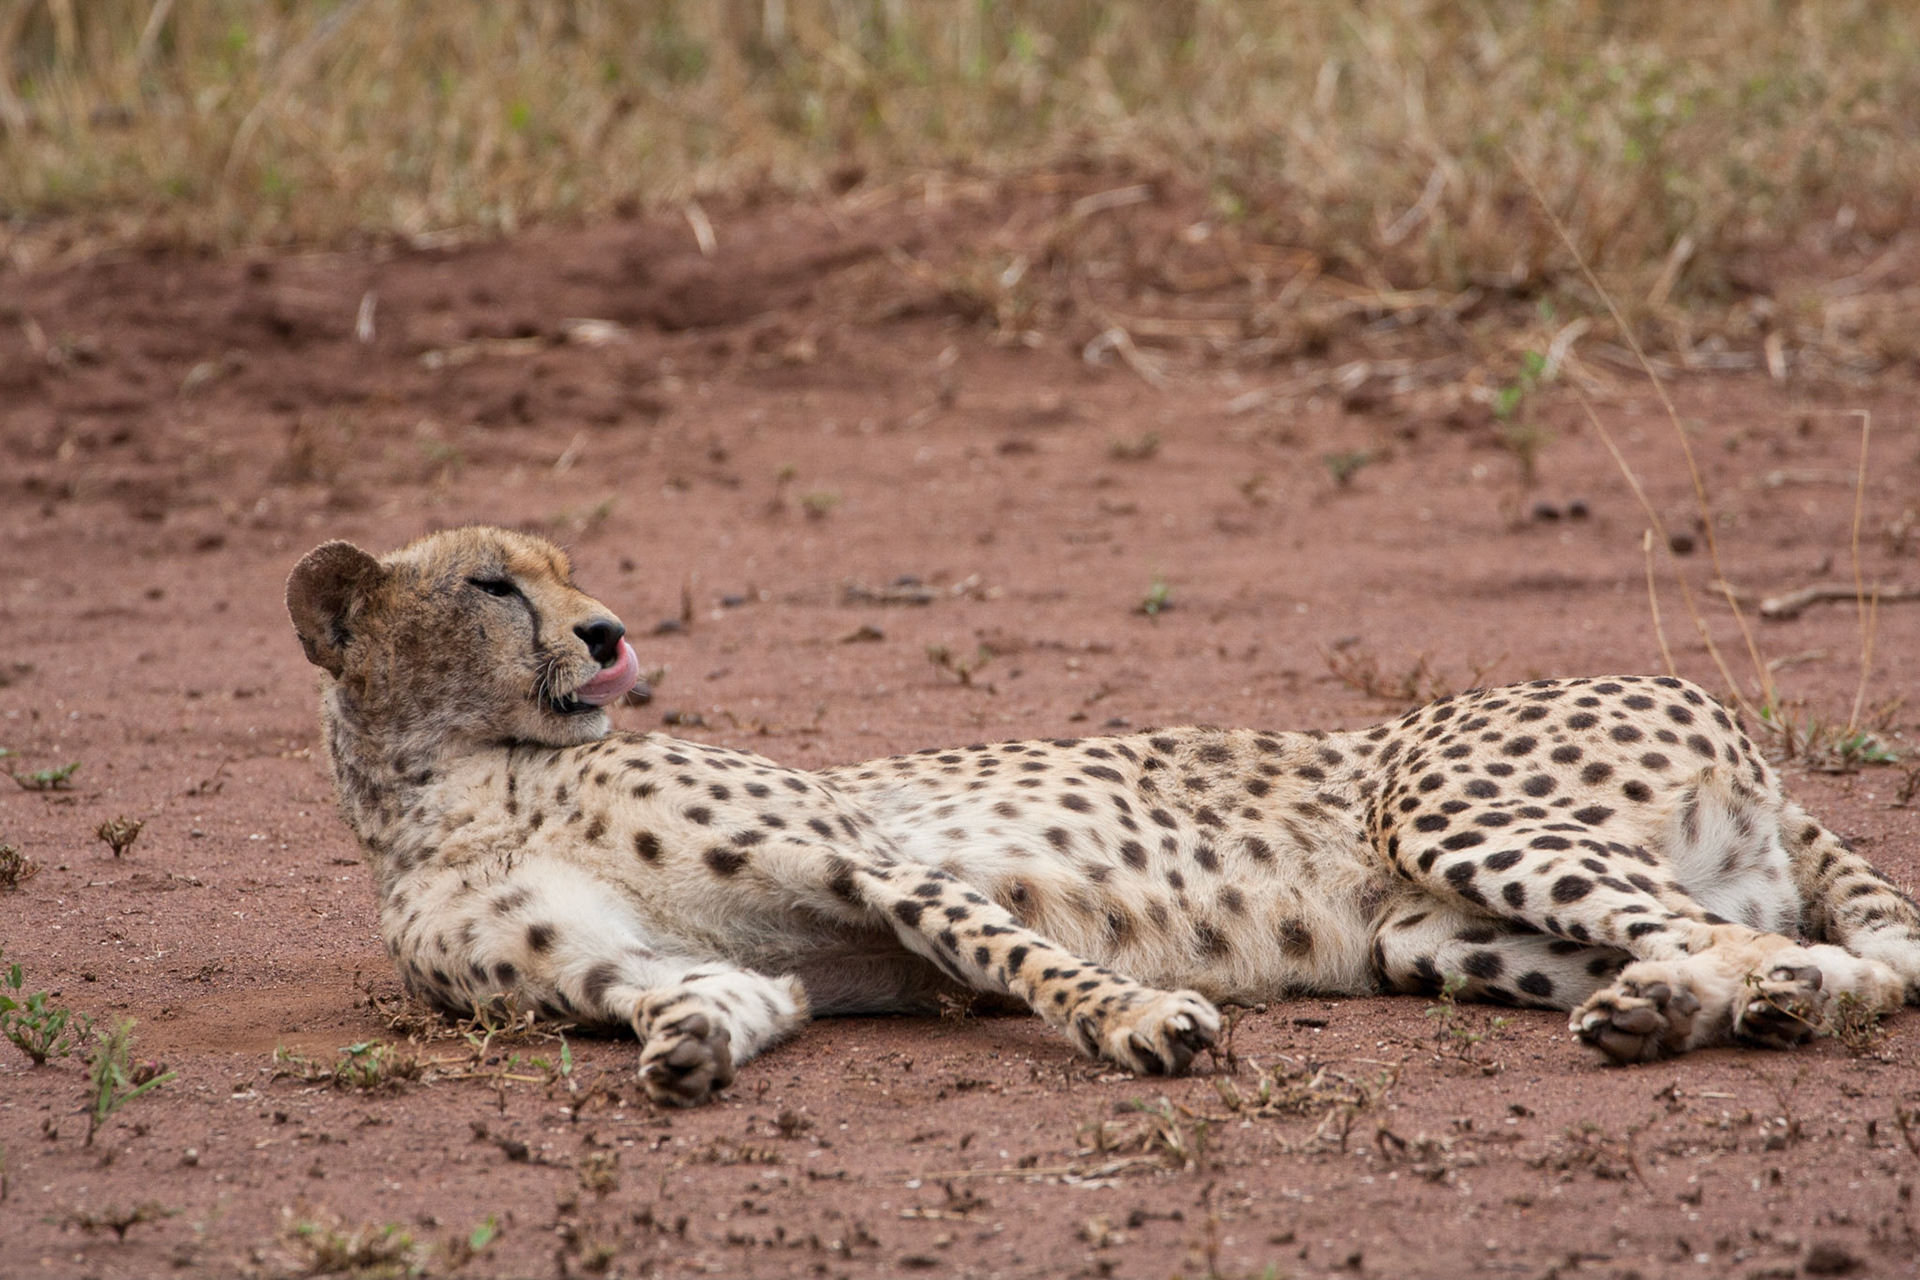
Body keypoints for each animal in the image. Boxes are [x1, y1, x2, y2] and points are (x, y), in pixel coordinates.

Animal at [287, 525, 1920, 1105]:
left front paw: (1148, 1025)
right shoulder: (662, 964)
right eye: (493, 583)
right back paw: (1668, 1015)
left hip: (1441, 806)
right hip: (1426, 935)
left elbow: (1022, 955)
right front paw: (687, 1057)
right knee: (1752, 950)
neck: (453, 784)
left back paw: (1760, 998)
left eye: (568, 573)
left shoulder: (869, 857)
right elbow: (719, 1000)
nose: (612, 635)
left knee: (1756, 942)